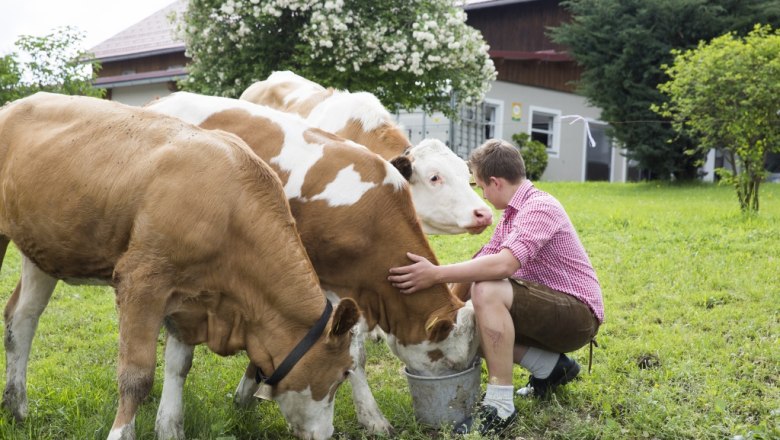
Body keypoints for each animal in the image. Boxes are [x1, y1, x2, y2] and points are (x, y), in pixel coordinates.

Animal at [0, 93, 360, 440]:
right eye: (344, 372)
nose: (327, 434)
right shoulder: (142, 280)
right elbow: (137, 375)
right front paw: (122, 432)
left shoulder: (191, 295)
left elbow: (179, 365)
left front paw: (170, 428)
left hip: (44, 245)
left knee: (22, 318)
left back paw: (16, 408)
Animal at [143, 92, 478, 434]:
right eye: (449, 362)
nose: (457, 407)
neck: (371, 219)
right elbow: (353, 352)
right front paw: (373, 417)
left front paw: (246, 395)